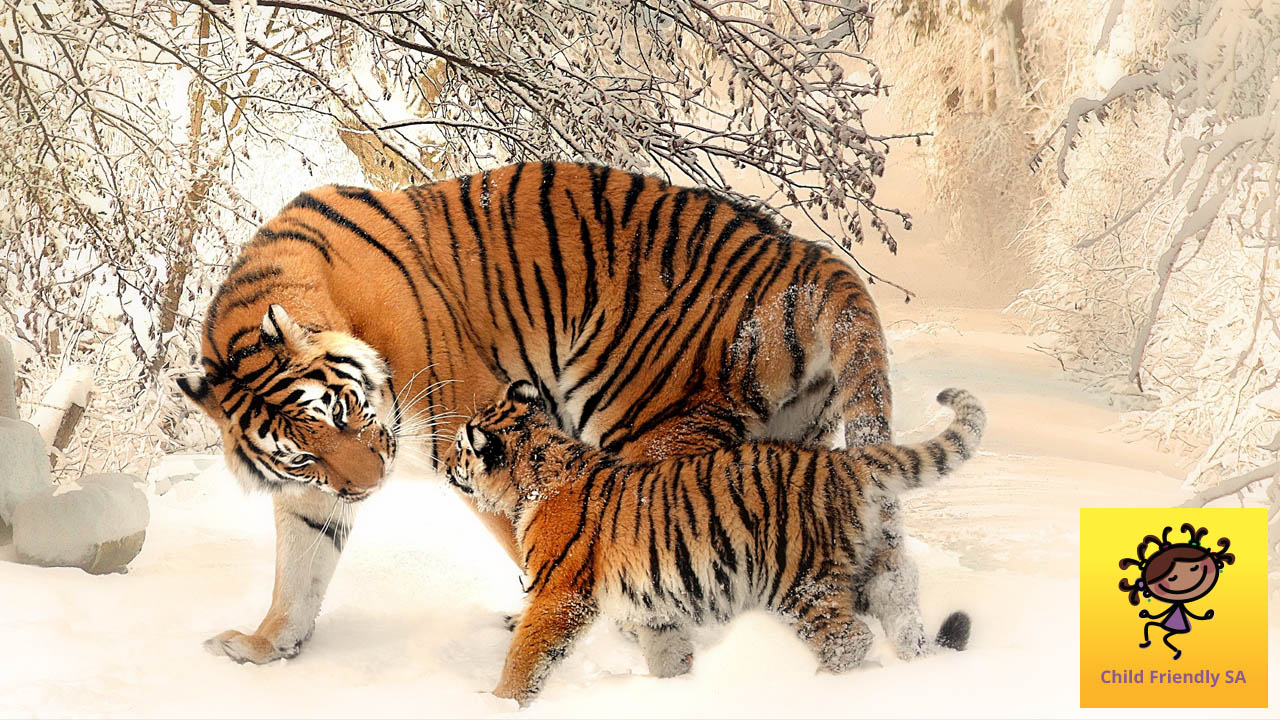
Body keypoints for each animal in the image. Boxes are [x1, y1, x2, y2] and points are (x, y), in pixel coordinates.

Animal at [180, 161, 890, 661]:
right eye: (302, 455)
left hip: (646, 422)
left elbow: (531, 541)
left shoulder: (471, 425)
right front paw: (265, 645)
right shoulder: (314, 492)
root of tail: (805, 256)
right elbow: (299, 568)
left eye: (344, 413)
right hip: (790, 443)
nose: (371, 486)